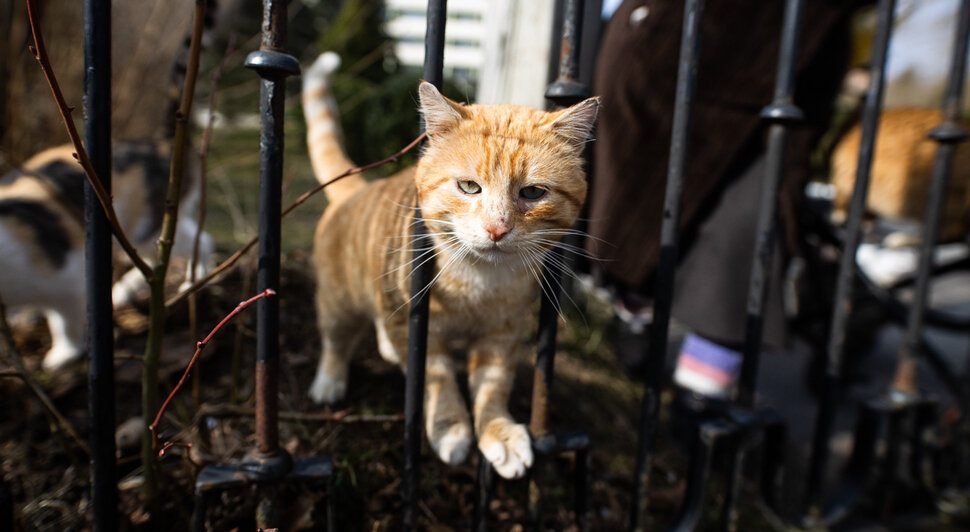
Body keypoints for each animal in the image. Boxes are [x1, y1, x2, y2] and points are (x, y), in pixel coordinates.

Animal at [302, 54, 592, 478]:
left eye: (533, 192)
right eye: (469, 187)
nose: (497, 228)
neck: (478, 285)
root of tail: (357, 190)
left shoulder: (502, 336)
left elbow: (493, 387)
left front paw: (499, 433)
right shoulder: (420, 329)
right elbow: (438, 381)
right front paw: (451, 428)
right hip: (339, 304)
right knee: (336, 342)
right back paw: (329, 382)